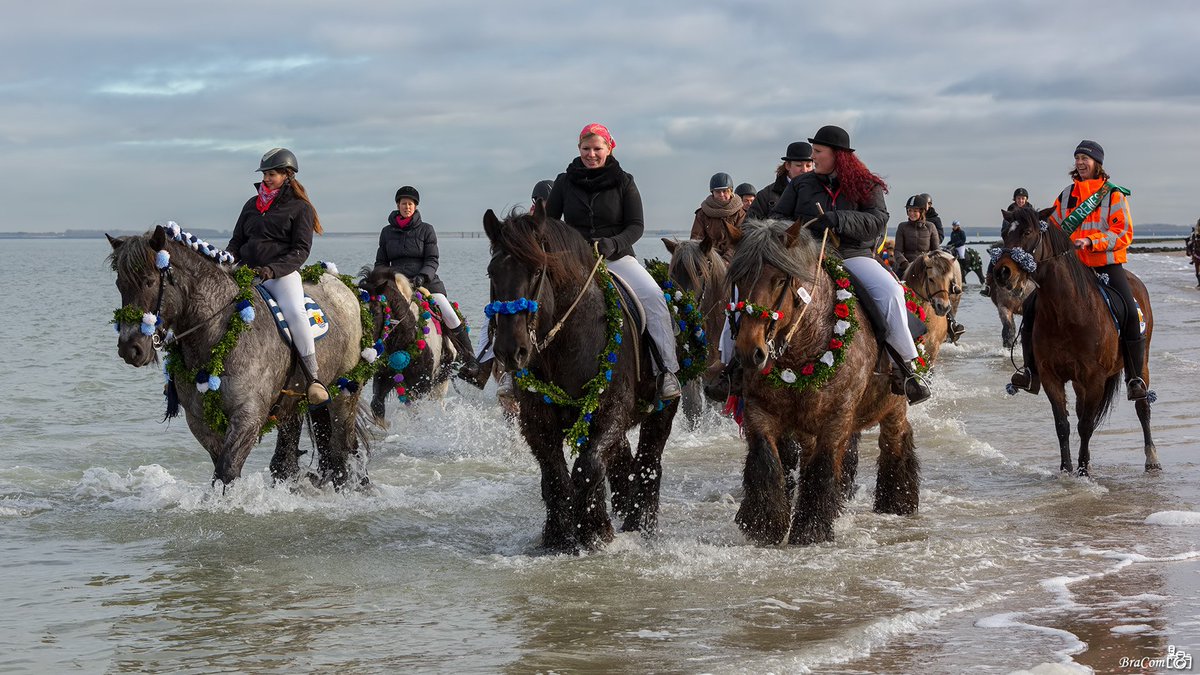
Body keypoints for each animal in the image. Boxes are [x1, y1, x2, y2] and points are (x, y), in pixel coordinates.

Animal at [108, 225, 371, 486]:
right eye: (120, 285)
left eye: (149, 282)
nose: (130, 349)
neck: (218, 335)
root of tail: (342, 286)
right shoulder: (200, 421)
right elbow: (220, 471)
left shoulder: (247, 416)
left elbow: (227, 471)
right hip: (294, 400)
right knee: (290, 455)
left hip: (344, 393)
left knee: (341, 447)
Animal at [357, 265, 453, 426]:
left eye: (374, 311)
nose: (364, 351)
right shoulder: (384, 377)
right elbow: (377, 405)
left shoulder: (423, 384)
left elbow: (421, 411)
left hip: (441, 380)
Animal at [484, 205, 678, 553]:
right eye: (493, 272)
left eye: (537, 271)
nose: (510, 351)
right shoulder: (536, 418)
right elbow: (555, 476)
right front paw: (559, 535)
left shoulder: (610, 409)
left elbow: (587, 468)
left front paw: (595, 530)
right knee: (623, 463)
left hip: (661, 412)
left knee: (648, 463)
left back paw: (641, 524)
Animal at [728, 219, 945, 545]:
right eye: (739, 277)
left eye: (780, 279)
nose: (749, 351)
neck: (802, 351)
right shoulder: (759, 410)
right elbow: (766, 460)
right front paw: (765, 524)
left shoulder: (836, 418)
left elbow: (822, 467)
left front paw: (810, 530)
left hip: (893, 406)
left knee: (895, 440)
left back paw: (897, 501)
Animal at [992, 207, 1159, 475]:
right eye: (1004, 233)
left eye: (1027, 232)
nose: (1002, 272)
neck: (1067, 311)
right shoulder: (1051, 376)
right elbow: (1063, 424)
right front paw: (1066, 469)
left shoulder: (1094, 379)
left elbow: (1086, 426)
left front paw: (1082, 472)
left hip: (1140, 363)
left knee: (1142, 407)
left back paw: (1152, 459)